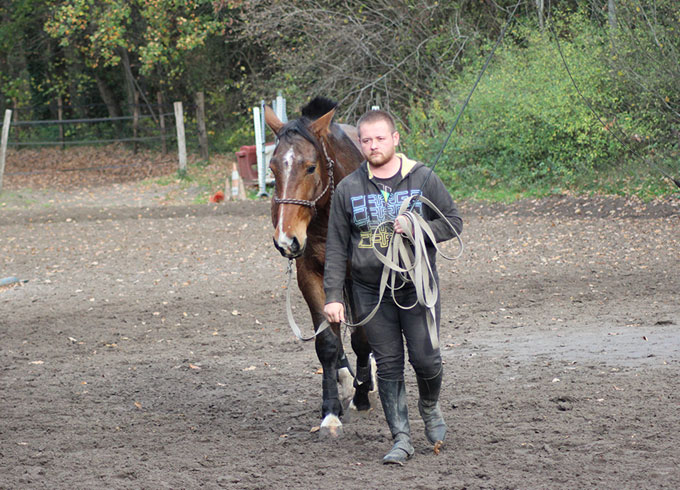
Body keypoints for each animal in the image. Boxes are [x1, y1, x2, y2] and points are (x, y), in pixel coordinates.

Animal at [266, 96, 374, 436]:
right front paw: (330, 410)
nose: (286, 240)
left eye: (311, 167)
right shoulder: (309, 273)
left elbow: (363, 336)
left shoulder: (359, 277)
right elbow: (327, 342)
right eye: (272, 168)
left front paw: (362, 396)